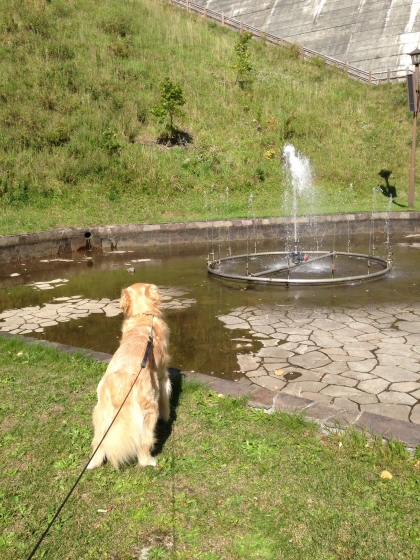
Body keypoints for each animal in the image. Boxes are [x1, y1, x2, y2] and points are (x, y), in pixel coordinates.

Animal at [87, 283, 171, 469]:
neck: (142, 317)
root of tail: (120, 384)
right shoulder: (162, 375)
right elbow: (165, 398)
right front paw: (167, 416)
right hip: (148, 410)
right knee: (144, 445)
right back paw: (150, 461)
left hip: (101, 414)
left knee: (98, 445)